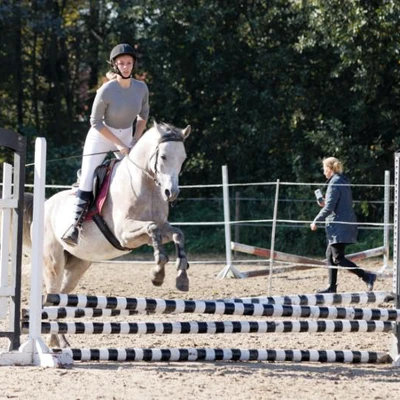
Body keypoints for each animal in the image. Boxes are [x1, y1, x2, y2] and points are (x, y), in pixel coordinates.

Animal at [23, 121, 191, 344]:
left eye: (183, 158)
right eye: (163, 156)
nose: (171, 193)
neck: (146, 185)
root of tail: (45, 204)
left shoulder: (157, 230)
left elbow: (177, 233)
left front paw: (182, 277)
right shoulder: (125, 234)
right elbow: (152, 228)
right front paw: (158, 273)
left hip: (78, 266)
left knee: (59, 299)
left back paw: (60, 342)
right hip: (53, 263)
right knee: (51, 296)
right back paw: (54, 343)